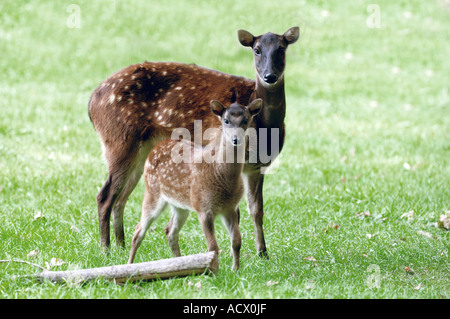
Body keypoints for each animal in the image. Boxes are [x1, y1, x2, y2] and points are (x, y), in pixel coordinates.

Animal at [126, 95, 262, 270]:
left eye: (246, 120)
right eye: (226, 120)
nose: (235, 139)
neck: (221, 176)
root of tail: (155, 148)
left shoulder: (230, 207)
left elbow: (237, 241)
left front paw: (235, 270)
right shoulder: (203, 207)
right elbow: (212, 246)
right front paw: (214, 270)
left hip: (180, 204)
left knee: (170, 231)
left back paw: (179, 264)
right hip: (152, 191)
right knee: (138, 230)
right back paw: (129, 265)